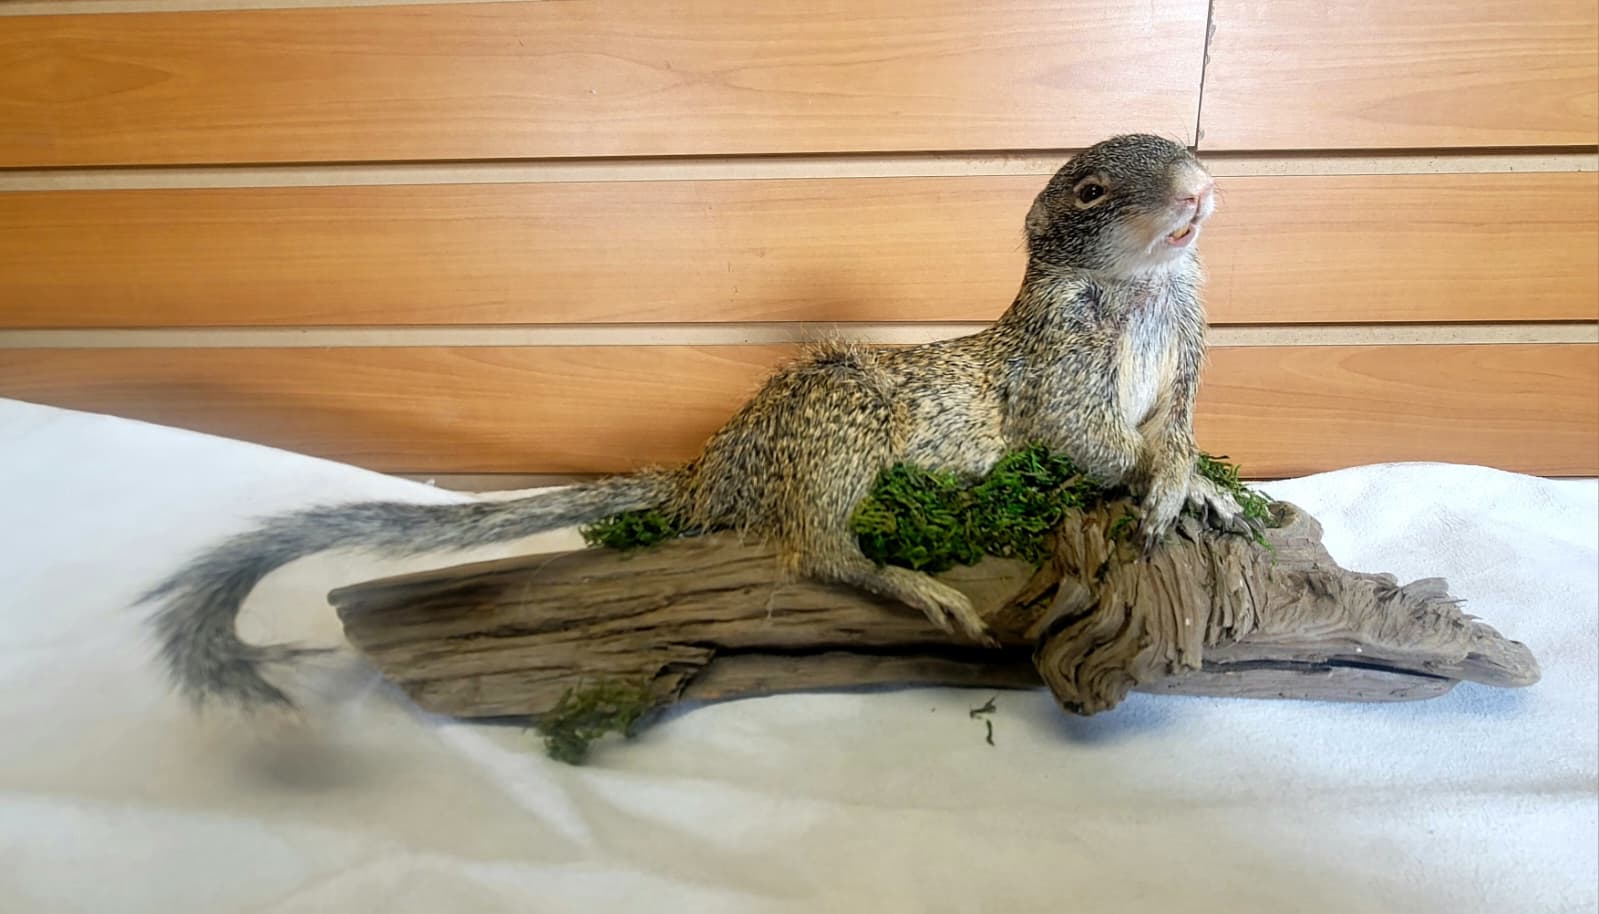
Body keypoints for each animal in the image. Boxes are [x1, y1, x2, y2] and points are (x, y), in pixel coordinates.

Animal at [142, 133, 1257, 711]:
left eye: (1181, 146)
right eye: (1093, 188)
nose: (1202, 189)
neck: (1143, 293)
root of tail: (710, 469)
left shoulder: (1189, 353)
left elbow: (1173, 430)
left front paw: (1202, 484)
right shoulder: (1057, 373)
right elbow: (1085, 440)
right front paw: (1168, 485)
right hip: (836, 421)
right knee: (811, 548)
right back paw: (912, 582)